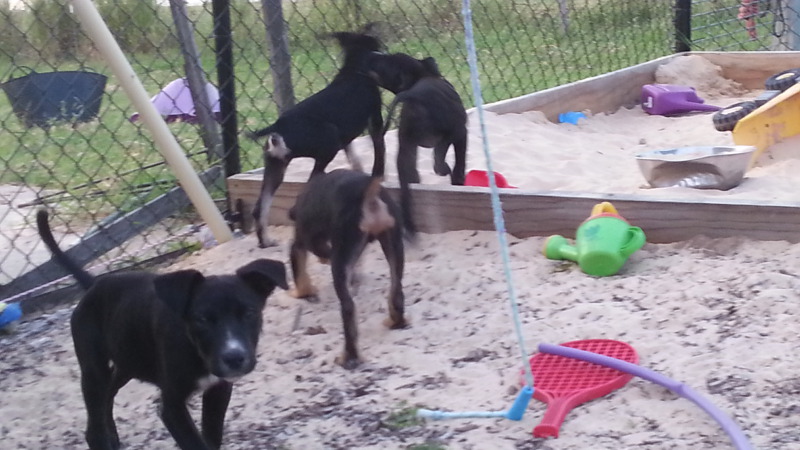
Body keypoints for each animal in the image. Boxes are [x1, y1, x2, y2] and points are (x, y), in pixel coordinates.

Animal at [37, 210, 290, 450]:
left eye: (249, 313)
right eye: (201, 320)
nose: (235, 358)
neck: (194, 349)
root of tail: (94, 284)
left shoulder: (218, 391)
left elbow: (211, 438)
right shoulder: (172, 406)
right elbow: (195, 443)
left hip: (129, 360)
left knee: (108, 396)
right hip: (93, 369)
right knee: (94, 424)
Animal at [248, 30, 390, 250]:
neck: (353, 70)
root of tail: (278, 127)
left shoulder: (346, 138)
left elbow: (354, 158)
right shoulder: (374, 121)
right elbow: (379, 150)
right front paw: (378, 175)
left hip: (275, 167)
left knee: (260, 208)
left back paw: (266, 241)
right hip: (328, 145)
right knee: (308, 187)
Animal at [286, 169, 406, 370]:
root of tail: (368, 194)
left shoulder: (303, 242)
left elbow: (299, 268)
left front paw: (303, 292)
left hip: (341, 260)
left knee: (349, 307)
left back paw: (349, 357)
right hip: (394, 246)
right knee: (397, 291)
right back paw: (397, 321)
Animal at [366, 54, 466, 234]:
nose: (373, 57)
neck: (423, 74)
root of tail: (413, 95)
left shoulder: (408, 144)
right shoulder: (460, 133)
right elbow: (458, 163)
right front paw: (457, 180)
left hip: (405, 147)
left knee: (408, 179)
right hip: (451, 131)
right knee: (439, 159)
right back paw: (445, 170)